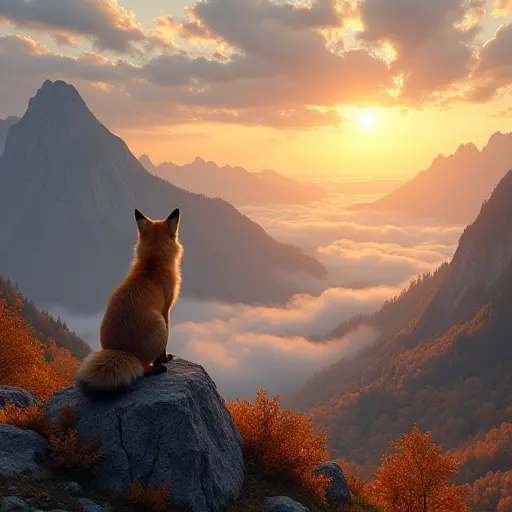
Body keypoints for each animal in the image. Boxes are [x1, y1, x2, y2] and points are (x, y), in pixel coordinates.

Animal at [74, 206, 182, 398]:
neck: (152, 266)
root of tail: (123, 351)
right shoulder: (165, 312)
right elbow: (163, 349)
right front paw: (165, 358)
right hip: (159, 324)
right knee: (143, 369)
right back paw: (157, 368)